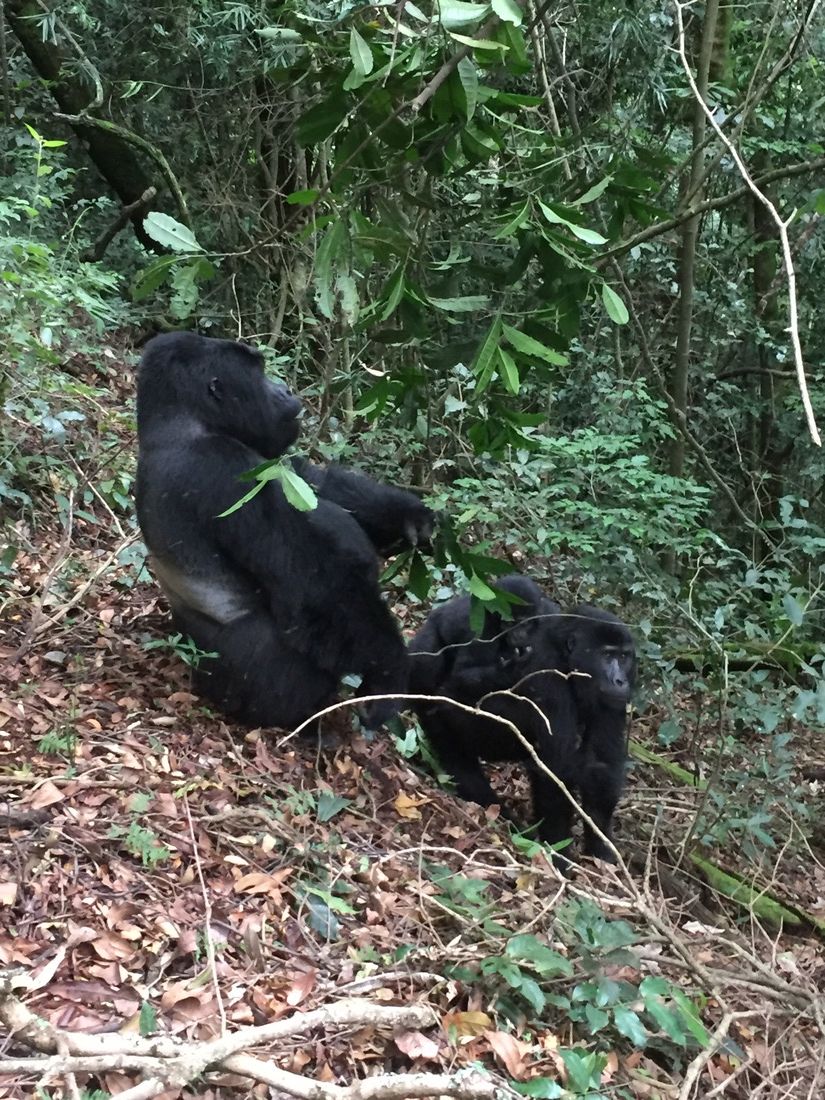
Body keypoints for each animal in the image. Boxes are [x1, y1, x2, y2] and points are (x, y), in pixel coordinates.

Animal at [137, 330, 433, 734]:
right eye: (259, 373)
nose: (285, 389)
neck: (184, 424)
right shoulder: (220, 469)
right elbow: (316, 585)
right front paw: (389, 676)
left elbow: (313, 482)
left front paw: (409, 517)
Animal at [411, 585, 638, 866]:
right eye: (607, 655)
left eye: (623, 656)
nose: (620, 681)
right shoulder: (548, 675)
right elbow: (555, 771)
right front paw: (560, 856)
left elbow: (600, 766)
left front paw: (602, 853)